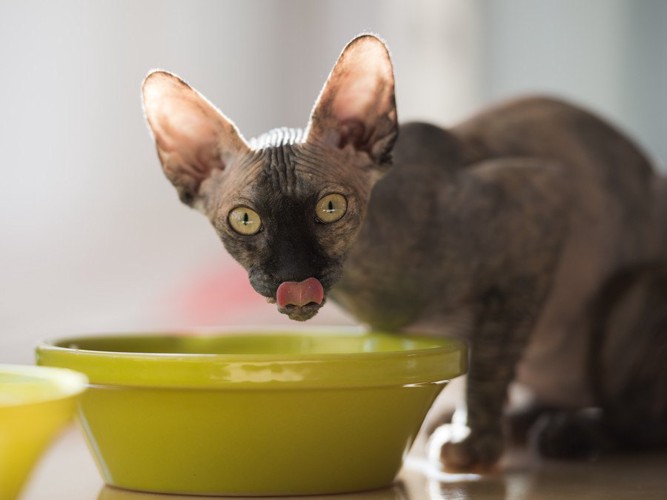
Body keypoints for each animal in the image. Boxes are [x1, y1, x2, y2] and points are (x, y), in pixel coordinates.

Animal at [142, 33, 667, 466]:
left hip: (632, 295)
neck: (368, 287)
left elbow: (491, 360)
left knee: (639, 420)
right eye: (245, 220)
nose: (295, 275)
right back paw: (530, 420)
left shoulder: (543, 199)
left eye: (330, 207)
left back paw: (569, 432)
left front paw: (474, 442)